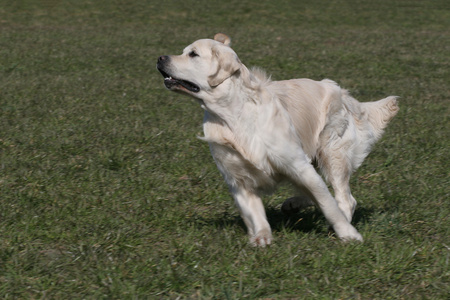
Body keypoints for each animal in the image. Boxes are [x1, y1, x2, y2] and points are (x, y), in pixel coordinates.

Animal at [156, 34, 400, 246]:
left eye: (193, 54)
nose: (160, 58)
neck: (234, 115)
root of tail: (341, 91)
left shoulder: (297, 164)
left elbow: (328, 203)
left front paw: (349, 234)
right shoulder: (238, 178)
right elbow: (255, 213)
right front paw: (261, 237)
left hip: (332, 154)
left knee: (342, 198)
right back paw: (292, 204)